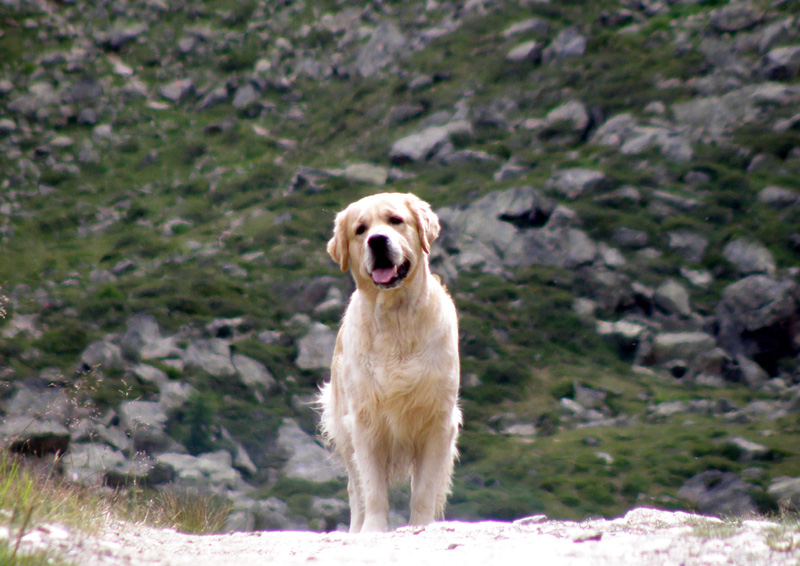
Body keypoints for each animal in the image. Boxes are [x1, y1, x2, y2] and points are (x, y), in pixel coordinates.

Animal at [316, 193, 460, 536]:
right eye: (360, 229)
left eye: (395, 220)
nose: (377, 240)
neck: (397, 320)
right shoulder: (365, 422)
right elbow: (372, 489)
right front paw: (373, 529)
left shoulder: (439, 422)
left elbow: (424, 490)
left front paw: (421, 525)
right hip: (343, 426)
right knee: (356, 489)